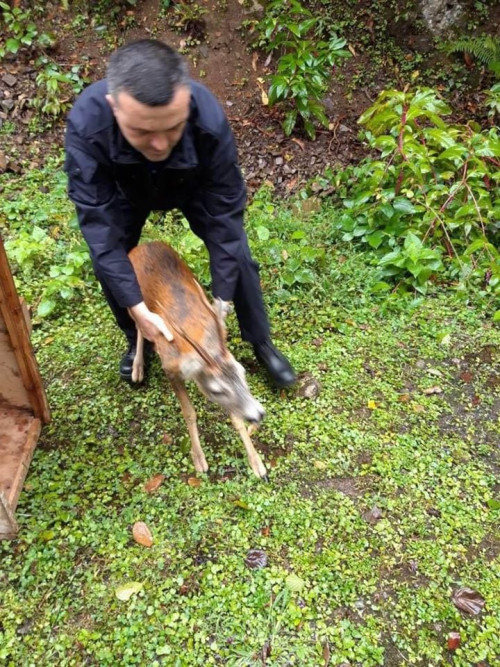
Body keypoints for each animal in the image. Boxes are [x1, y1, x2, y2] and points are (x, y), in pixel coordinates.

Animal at [129, 240, 270, 480]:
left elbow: (236, 418)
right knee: (139, 324)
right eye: (216, 390)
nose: (258, 413)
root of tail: (142, 245)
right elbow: (189, 412)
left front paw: (257, 463)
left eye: (243, 372)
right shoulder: (171, 369)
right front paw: (199, 459)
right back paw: (137, 368)